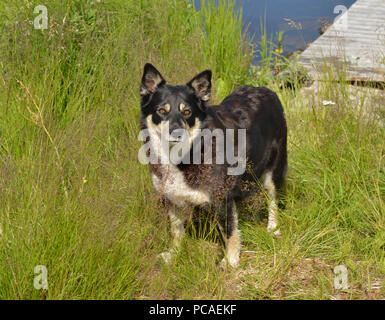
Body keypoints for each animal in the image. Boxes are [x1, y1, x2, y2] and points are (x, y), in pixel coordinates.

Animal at [137, 62, 284, 268]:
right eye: (161, 111)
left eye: (187, 112)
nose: (176, 132)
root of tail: (266, 90)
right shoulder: (172, 197)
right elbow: (176, 230)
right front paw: (173, 254)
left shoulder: (221, 198)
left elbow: (230, 233)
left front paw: (230, 261)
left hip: (272, 171)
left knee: (273, 198)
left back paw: (273, 226)